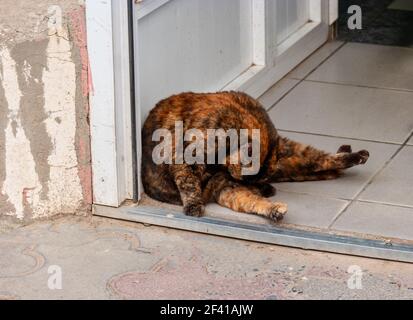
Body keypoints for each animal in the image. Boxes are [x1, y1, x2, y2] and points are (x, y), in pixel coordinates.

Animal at [141, 91, 366, 221]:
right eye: (243, 178)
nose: (263, 187)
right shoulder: (189, 162)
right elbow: (189, 183)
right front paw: (194, 205)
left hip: (294, 154)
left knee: (319, 160)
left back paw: (354, 155)